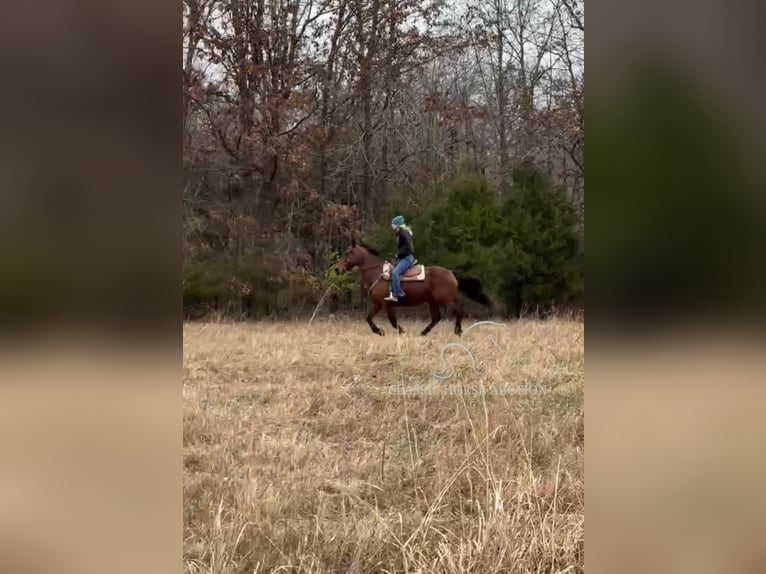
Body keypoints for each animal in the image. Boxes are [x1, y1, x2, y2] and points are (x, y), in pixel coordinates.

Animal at [334, 240, 492, 338]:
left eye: (348, 252)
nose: (337, 269)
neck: (378, 273)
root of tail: (451, 273)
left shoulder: (387, 304)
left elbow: (393, 321)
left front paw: (401, 332)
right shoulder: (377, 304)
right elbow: (368, 318)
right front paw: (379, 332)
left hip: (444, 300)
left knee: (458, 310)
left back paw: (457, 331)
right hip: (432, 302)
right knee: (436, 318)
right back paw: (423, 333)